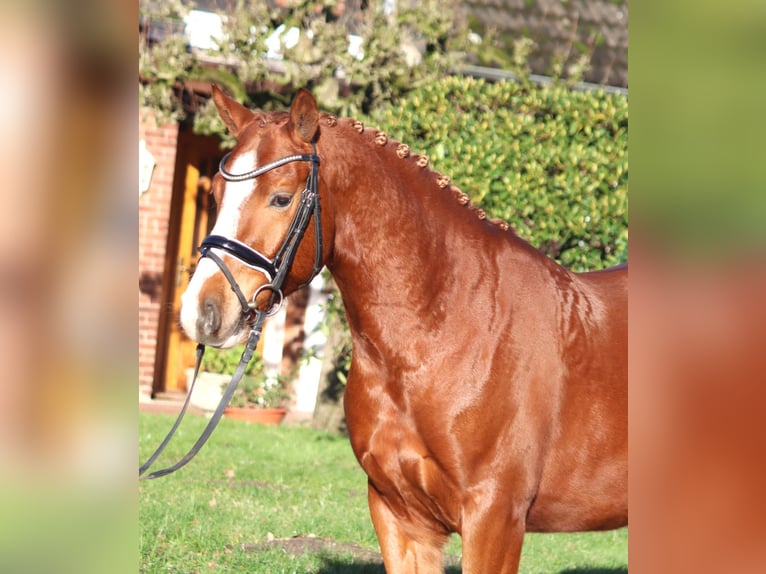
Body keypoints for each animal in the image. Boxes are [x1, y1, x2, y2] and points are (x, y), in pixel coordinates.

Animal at [182, 88, 632, 572]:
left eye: (281, 198)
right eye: (215, 191)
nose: (200, 310)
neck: (446, 332)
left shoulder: (495, 518)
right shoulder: (398, 515)